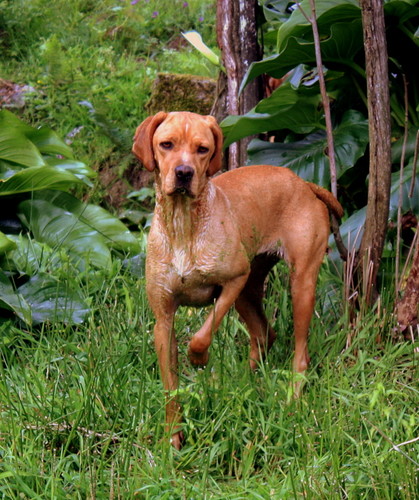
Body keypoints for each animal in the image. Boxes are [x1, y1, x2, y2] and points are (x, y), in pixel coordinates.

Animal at [132, 111, 343, 449]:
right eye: (166, 145)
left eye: (202, 149)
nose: (183, 173)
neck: (183, 225)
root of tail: (304, 183)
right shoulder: (163, 320)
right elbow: (170, 390)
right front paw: (172, 437)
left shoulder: (233, 281)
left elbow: (201, 335)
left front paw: (199, 358)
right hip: (249, 292)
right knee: (265, 335)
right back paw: (248, 380)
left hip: (299, 286)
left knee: (300, 354)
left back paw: (293, 398)